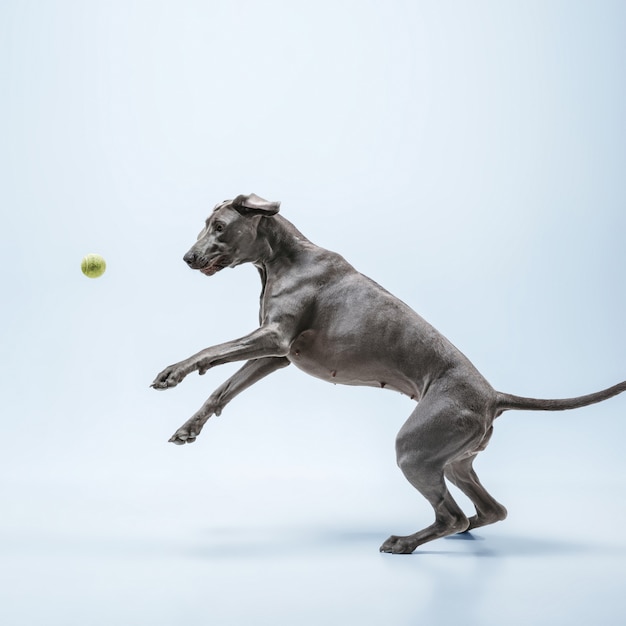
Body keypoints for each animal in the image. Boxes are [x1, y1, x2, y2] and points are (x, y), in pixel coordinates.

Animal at [151, 194, 624, 552]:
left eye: (219, 226)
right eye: (206, 225)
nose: (187, 257)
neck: (283, 257)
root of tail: (493, 396)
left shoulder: (275, 338)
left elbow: (211, 351)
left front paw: (175, 371)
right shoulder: (276, 355)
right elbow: (223, 389)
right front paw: (189, 427)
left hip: (415, 449)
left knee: (450, 515)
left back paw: (406, 542)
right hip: (455, 459)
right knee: (491, 510)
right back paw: (465, 527)